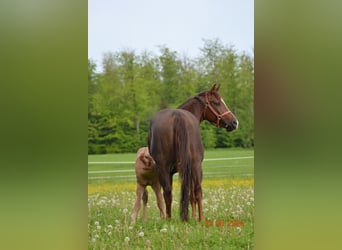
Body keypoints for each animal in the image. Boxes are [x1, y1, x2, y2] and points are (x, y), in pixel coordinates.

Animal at [147, 84, 238, 221]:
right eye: (216, 103)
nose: (234, 122)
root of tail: (177, 116)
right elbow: (191, 194)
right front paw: (194, 217)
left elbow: (188, 195)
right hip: (194, 165)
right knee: (196, 190)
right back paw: (200, 219)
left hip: (169, 167)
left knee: (171, 192)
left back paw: (172, 219)